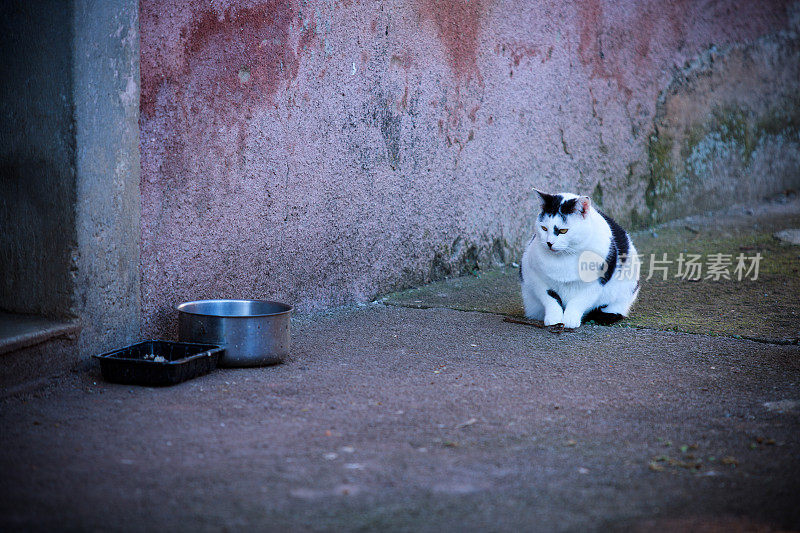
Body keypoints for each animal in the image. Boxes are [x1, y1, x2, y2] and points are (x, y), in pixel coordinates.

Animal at [520, 187, 640, 328]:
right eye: (544, 228)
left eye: (563, 231)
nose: (549, 243)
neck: (565, 257)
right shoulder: (536, 277)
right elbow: (551, 299)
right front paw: (554, 318)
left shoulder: (597, 282)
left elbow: (579, 301)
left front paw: (570, 319)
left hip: (628, 285)